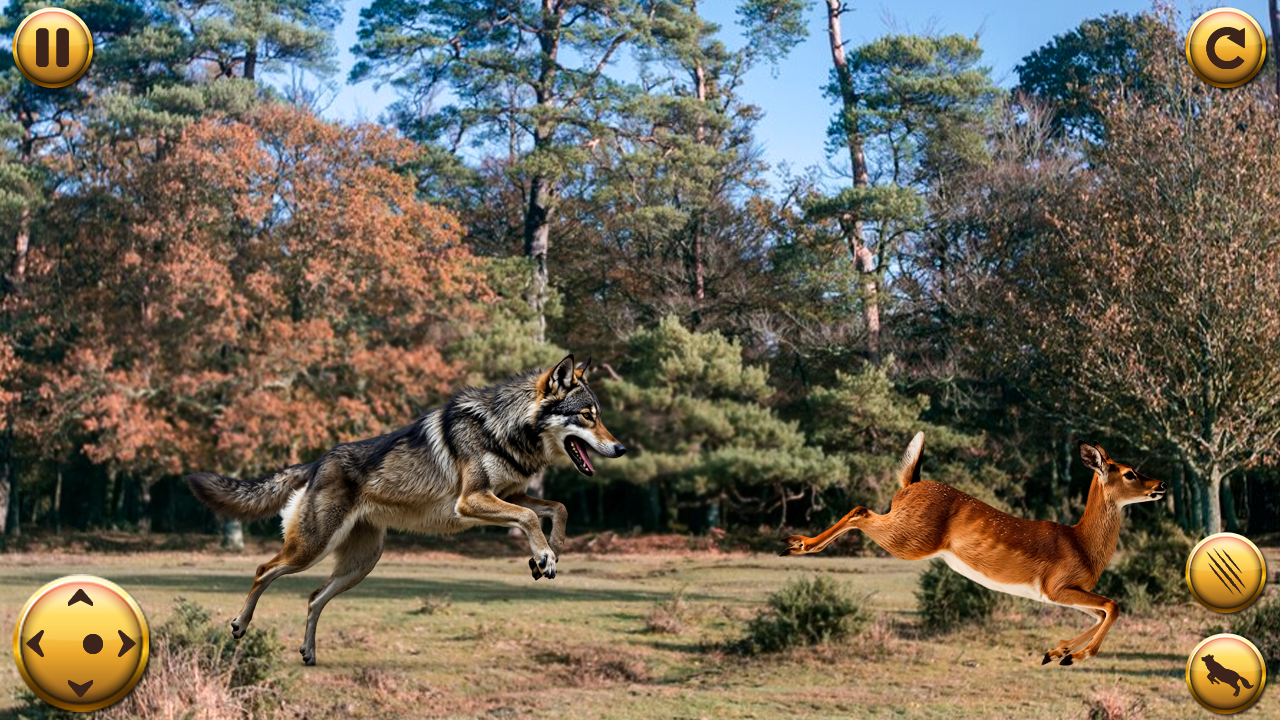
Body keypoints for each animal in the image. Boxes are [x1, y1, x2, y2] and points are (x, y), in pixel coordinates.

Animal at [186, 355, 625, 665]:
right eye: (587, 416)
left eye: (599, 417)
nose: (620, 448)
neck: (504, 428)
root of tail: (315, 463)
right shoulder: (473, 501)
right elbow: (534, 517)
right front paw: (543, 556)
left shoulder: (511, 495)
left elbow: (558, 508)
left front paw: (548, 554)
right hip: (310, 551)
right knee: (264, 570)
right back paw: (240, 625)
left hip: (359, 565)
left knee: (312, 597)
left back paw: (309, 653)